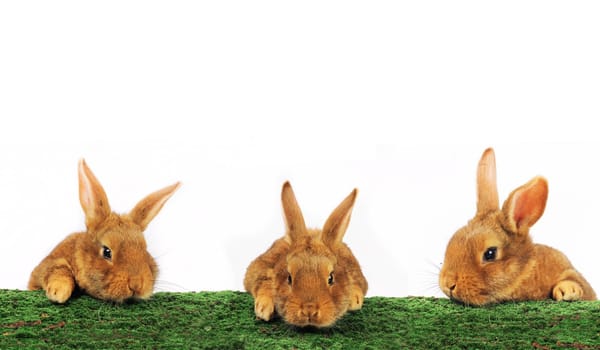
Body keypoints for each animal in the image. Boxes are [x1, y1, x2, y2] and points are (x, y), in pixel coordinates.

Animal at [29, 159, 180, 304]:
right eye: (107, 251)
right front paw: (59, 292)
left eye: (145, 251)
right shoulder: (47, 266)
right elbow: (59, 268)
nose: (136, 285)